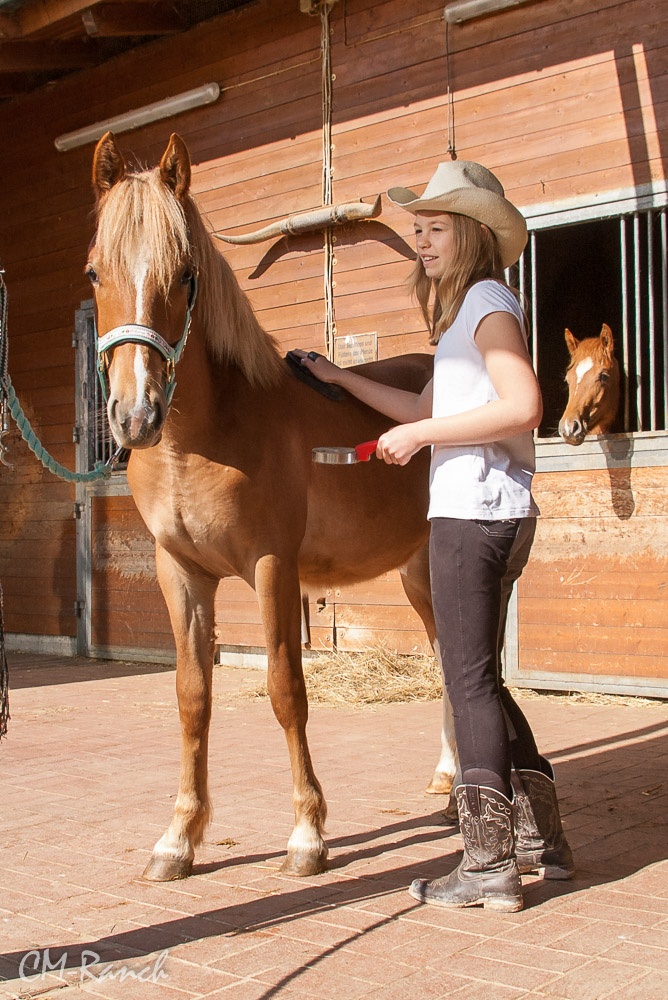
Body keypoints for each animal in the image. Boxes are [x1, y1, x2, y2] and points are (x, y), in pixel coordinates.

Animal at [87, 135, 460, 884]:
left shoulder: (272, 566)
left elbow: (287, 689)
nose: (135, 416)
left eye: (185, 275)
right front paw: (178, 838)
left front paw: (308, 833)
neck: (206, 434)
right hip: (417, 575)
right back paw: (445, 779)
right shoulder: (180, 573)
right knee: (444, 656)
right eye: (93, 274)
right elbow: (191, 697)